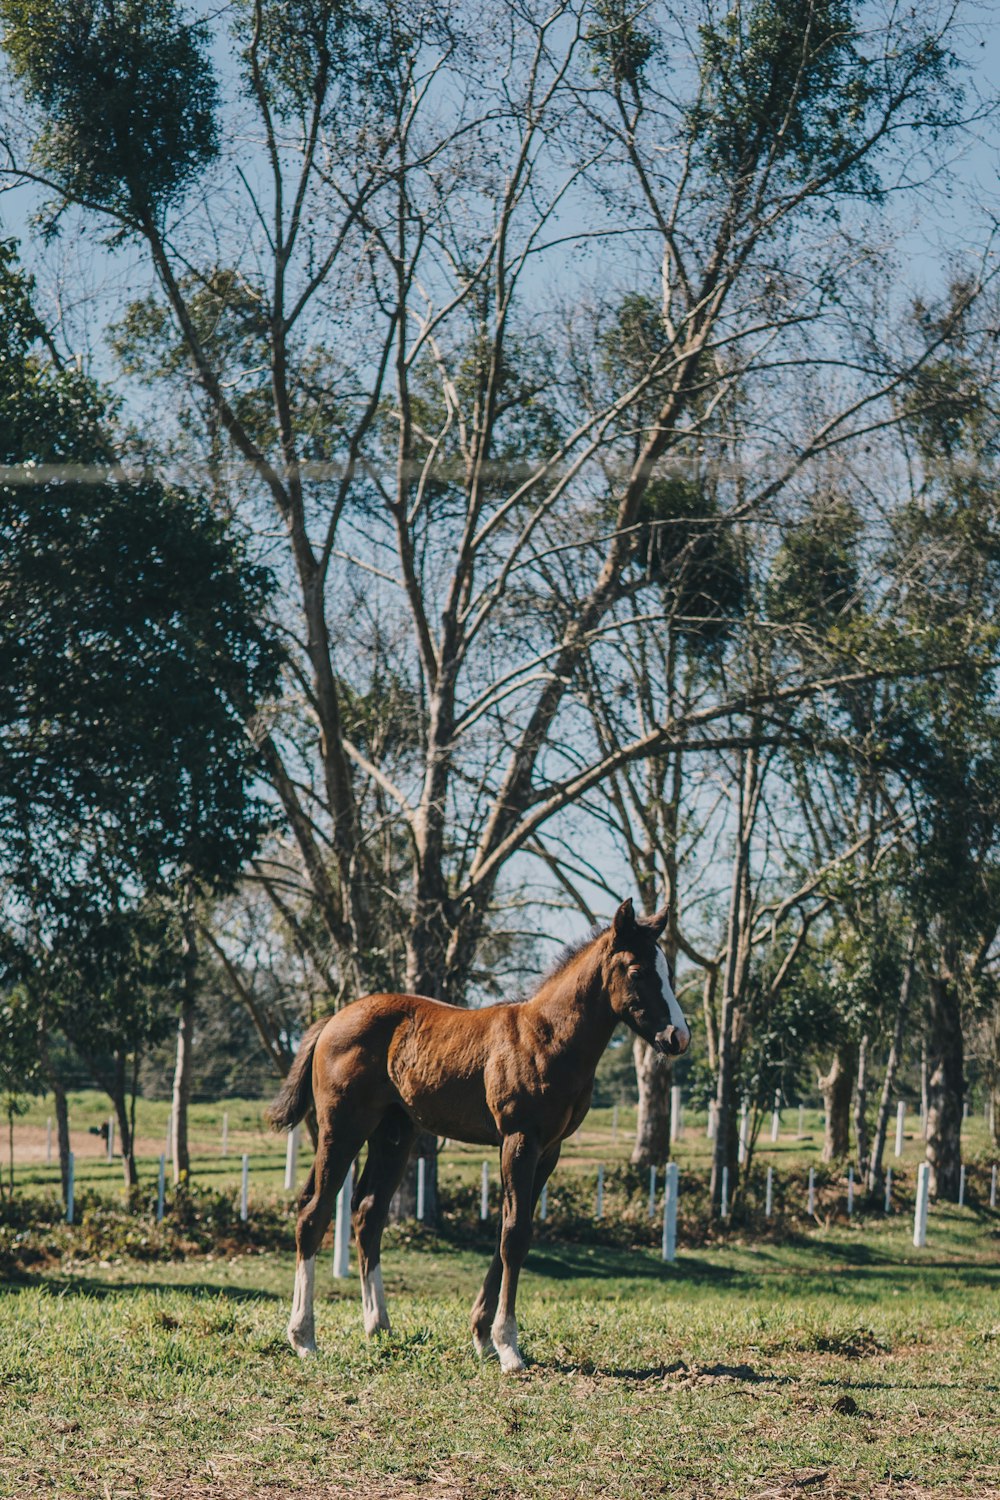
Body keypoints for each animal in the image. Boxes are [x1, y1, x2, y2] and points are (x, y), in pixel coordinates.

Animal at [265, 894, 689, 1374]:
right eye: (637, 971)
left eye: (667, 971)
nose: (678, 1036)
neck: (547, 1037)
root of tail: (331, 1020)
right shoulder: (519, 1140)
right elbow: (515, 1234)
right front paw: (508, 1346)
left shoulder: (548, 1150)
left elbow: (510, 1230)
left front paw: (483, 1335)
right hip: (342, 1129)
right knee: (313, 1213)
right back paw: (304, 1336)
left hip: (394, 1135)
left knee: (368, 1213)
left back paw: (379, 1326)